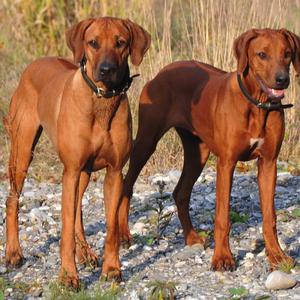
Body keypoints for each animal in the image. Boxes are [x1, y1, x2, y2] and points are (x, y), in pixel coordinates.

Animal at [4, 17, 149, 288]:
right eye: (93, 43)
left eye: (121, 42)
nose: (106, 70)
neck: (102, 100)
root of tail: (33, 64)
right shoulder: (70, 171)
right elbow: (66, 230)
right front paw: (68, 276)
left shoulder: (114, 172)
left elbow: (111, 228)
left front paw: (111, 269)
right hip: (23, 151)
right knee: (13, 200)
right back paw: (13, 252)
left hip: (83, 171)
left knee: (78, 209)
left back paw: (86, 253)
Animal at [118, 29, 298, 270]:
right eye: (262, 54)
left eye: (287, 54)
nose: (282, 80)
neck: (257, 104)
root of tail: (163, 71)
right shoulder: (226, 163)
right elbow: (222, 217)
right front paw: (222, 257)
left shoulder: (269, 164)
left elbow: (270, 217)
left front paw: (277, 255)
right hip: (146, 141)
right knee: (127, 185)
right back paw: (123, 235)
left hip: (198, 154)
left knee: (180, 192)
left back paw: (191, 237)